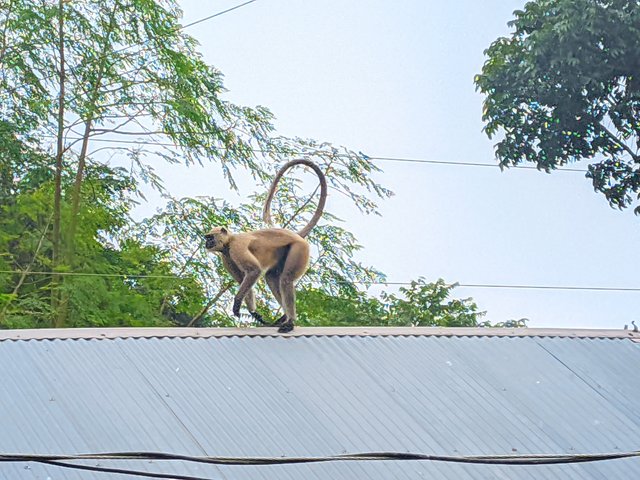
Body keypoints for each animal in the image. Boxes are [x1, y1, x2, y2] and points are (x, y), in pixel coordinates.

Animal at [204, 159, 328, 332]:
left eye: (210, 237)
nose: (206, 242)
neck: (230, 240)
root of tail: (296, 235)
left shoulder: (236, 247)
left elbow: (254, 271)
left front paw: (237, 303)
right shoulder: (226, 255)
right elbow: (243, 279)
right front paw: (254, 313)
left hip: (299, 248)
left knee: (286, 280)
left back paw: (290, 321)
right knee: (272, 278)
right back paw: (284, 317)